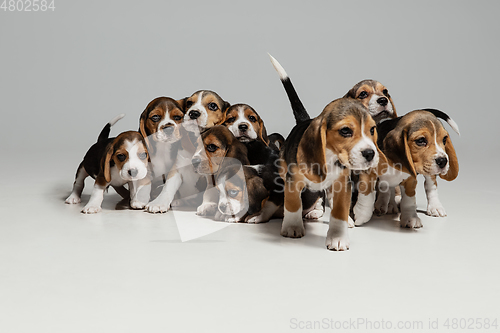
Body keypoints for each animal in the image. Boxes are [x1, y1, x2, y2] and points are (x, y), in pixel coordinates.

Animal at [270, 54, 382, 250]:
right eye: (345, 131)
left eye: (372, 130)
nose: (370, 154)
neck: (331, 157)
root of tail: (304, 121)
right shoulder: (293, 181)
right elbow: (293, 204)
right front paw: (292, 227)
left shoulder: (342, 184)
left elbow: (338, 211)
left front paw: (338, 237)